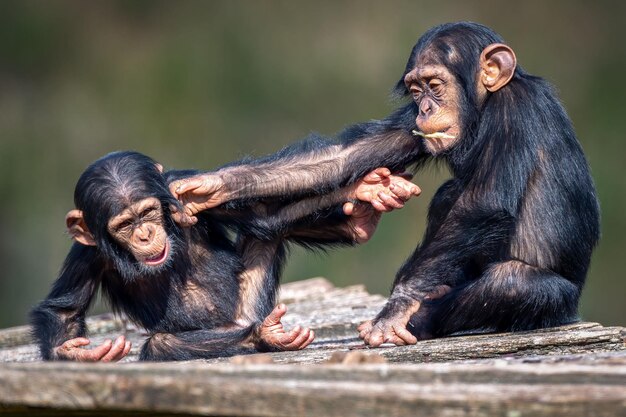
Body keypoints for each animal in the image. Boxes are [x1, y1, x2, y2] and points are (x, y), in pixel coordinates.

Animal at [30, 150, 420, 360]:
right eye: (125, 224)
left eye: (149, 213)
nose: (144, 233)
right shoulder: (87, 251)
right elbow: (64, 309)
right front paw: (74, 352)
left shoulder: (182, 192)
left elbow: (262, 213)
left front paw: (366, 188)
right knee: (161, 343)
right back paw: (263, 336)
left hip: (246, 308)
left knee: (267, 228)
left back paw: (360, 223)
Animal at [168, 23, 596, 348]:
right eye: (416, 90)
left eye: (435, 84)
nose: (426, 108)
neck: (485, 106)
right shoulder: (408, 122)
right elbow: (342, 157)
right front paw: (206, 189)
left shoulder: (515, 112)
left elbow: (484, 204)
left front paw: (396, 309)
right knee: (448, 196)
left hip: (557, 305)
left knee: (513, 283)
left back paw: (422, 317)